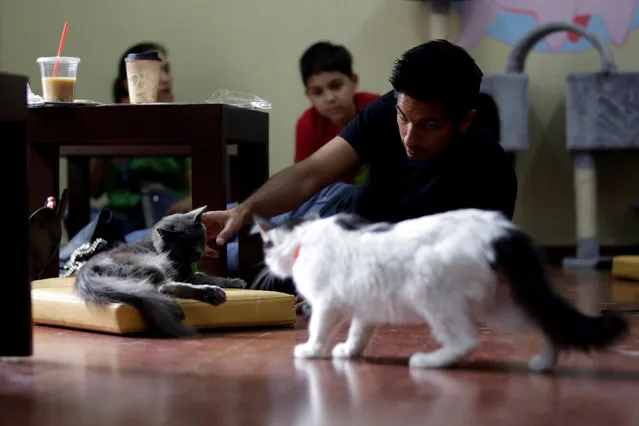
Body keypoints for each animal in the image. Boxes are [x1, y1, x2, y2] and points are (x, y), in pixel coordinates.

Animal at [74, 205, 246, 338]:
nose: (198, 253)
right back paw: (212, 295)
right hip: (154, 264)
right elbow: (210, 277)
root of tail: (85, 273)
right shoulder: (185, 275)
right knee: (162, 287)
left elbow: (206, 275)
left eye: (198, 239)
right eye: (184, 247)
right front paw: (237, 281)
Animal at [251, 210, 632, 372]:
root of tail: (505, 231)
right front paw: (349, 352)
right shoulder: (366, 307)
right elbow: (359, 333)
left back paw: (428, 362)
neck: (305, 235)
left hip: (432, 293)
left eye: (266, 248)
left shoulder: (328, 304)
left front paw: (311, 351)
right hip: (506, 307)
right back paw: (543, 364)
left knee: (466, 342)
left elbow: (318, 330)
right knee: (550, 325)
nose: (267, 264)